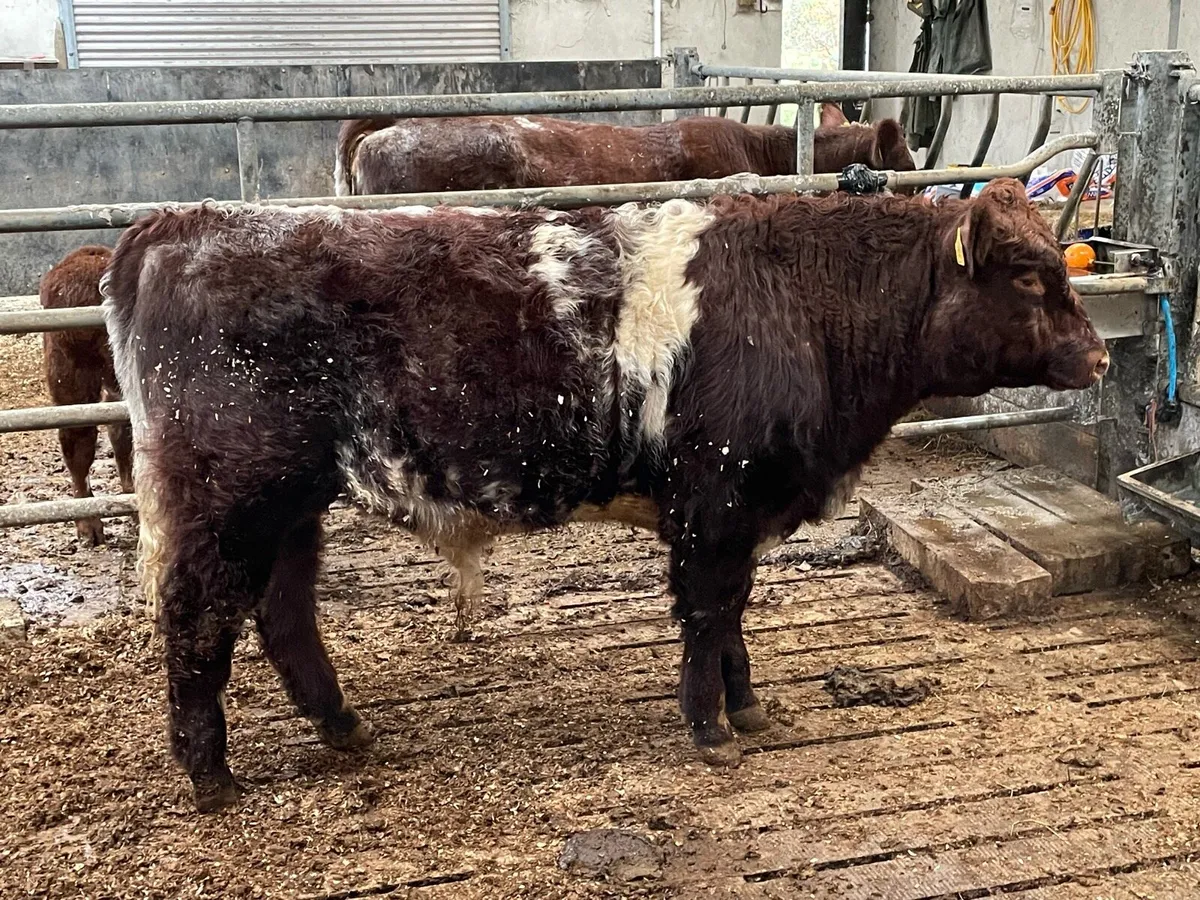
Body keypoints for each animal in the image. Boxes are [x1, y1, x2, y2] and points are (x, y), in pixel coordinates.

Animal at [102, 177, 1107, 811]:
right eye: (1027, 275)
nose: (1099, 356)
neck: (799, 299)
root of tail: (177, 225)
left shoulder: (732, 512)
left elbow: (731, 612)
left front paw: (745, 705)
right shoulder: (715, 502)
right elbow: (707, 611)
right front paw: (709, 725)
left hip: (290, 501)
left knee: (281, 611)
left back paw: (342, 726)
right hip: (227, 493)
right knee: (198, 614)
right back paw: (210, 775)